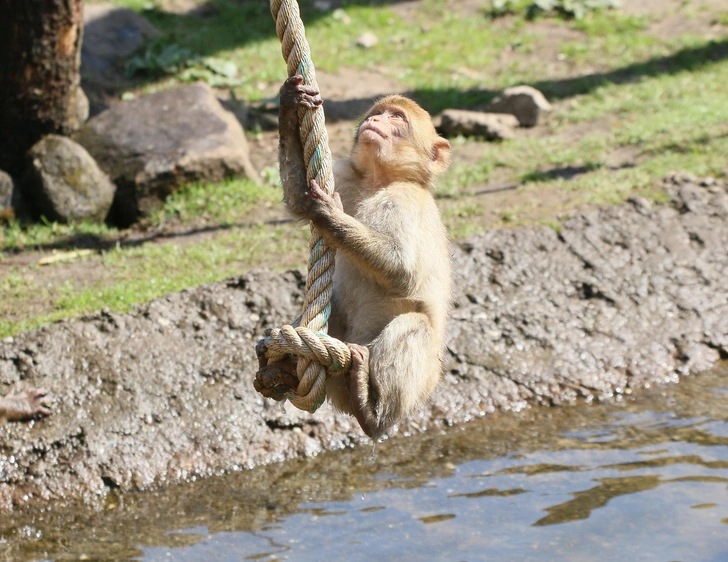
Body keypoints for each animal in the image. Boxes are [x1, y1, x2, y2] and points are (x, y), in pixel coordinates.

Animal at [255, 76, 450, 440]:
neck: (377, 179)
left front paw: (328, 213)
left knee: (414, 325)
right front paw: (290, 103)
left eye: (396, 117)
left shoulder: (406, 200)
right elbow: (299, 199)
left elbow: (404, 273)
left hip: (420, 378)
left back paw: (372, 413)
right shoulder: (346, 175)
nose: (376, 121)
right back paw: (280, 369)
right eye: (378, 113)